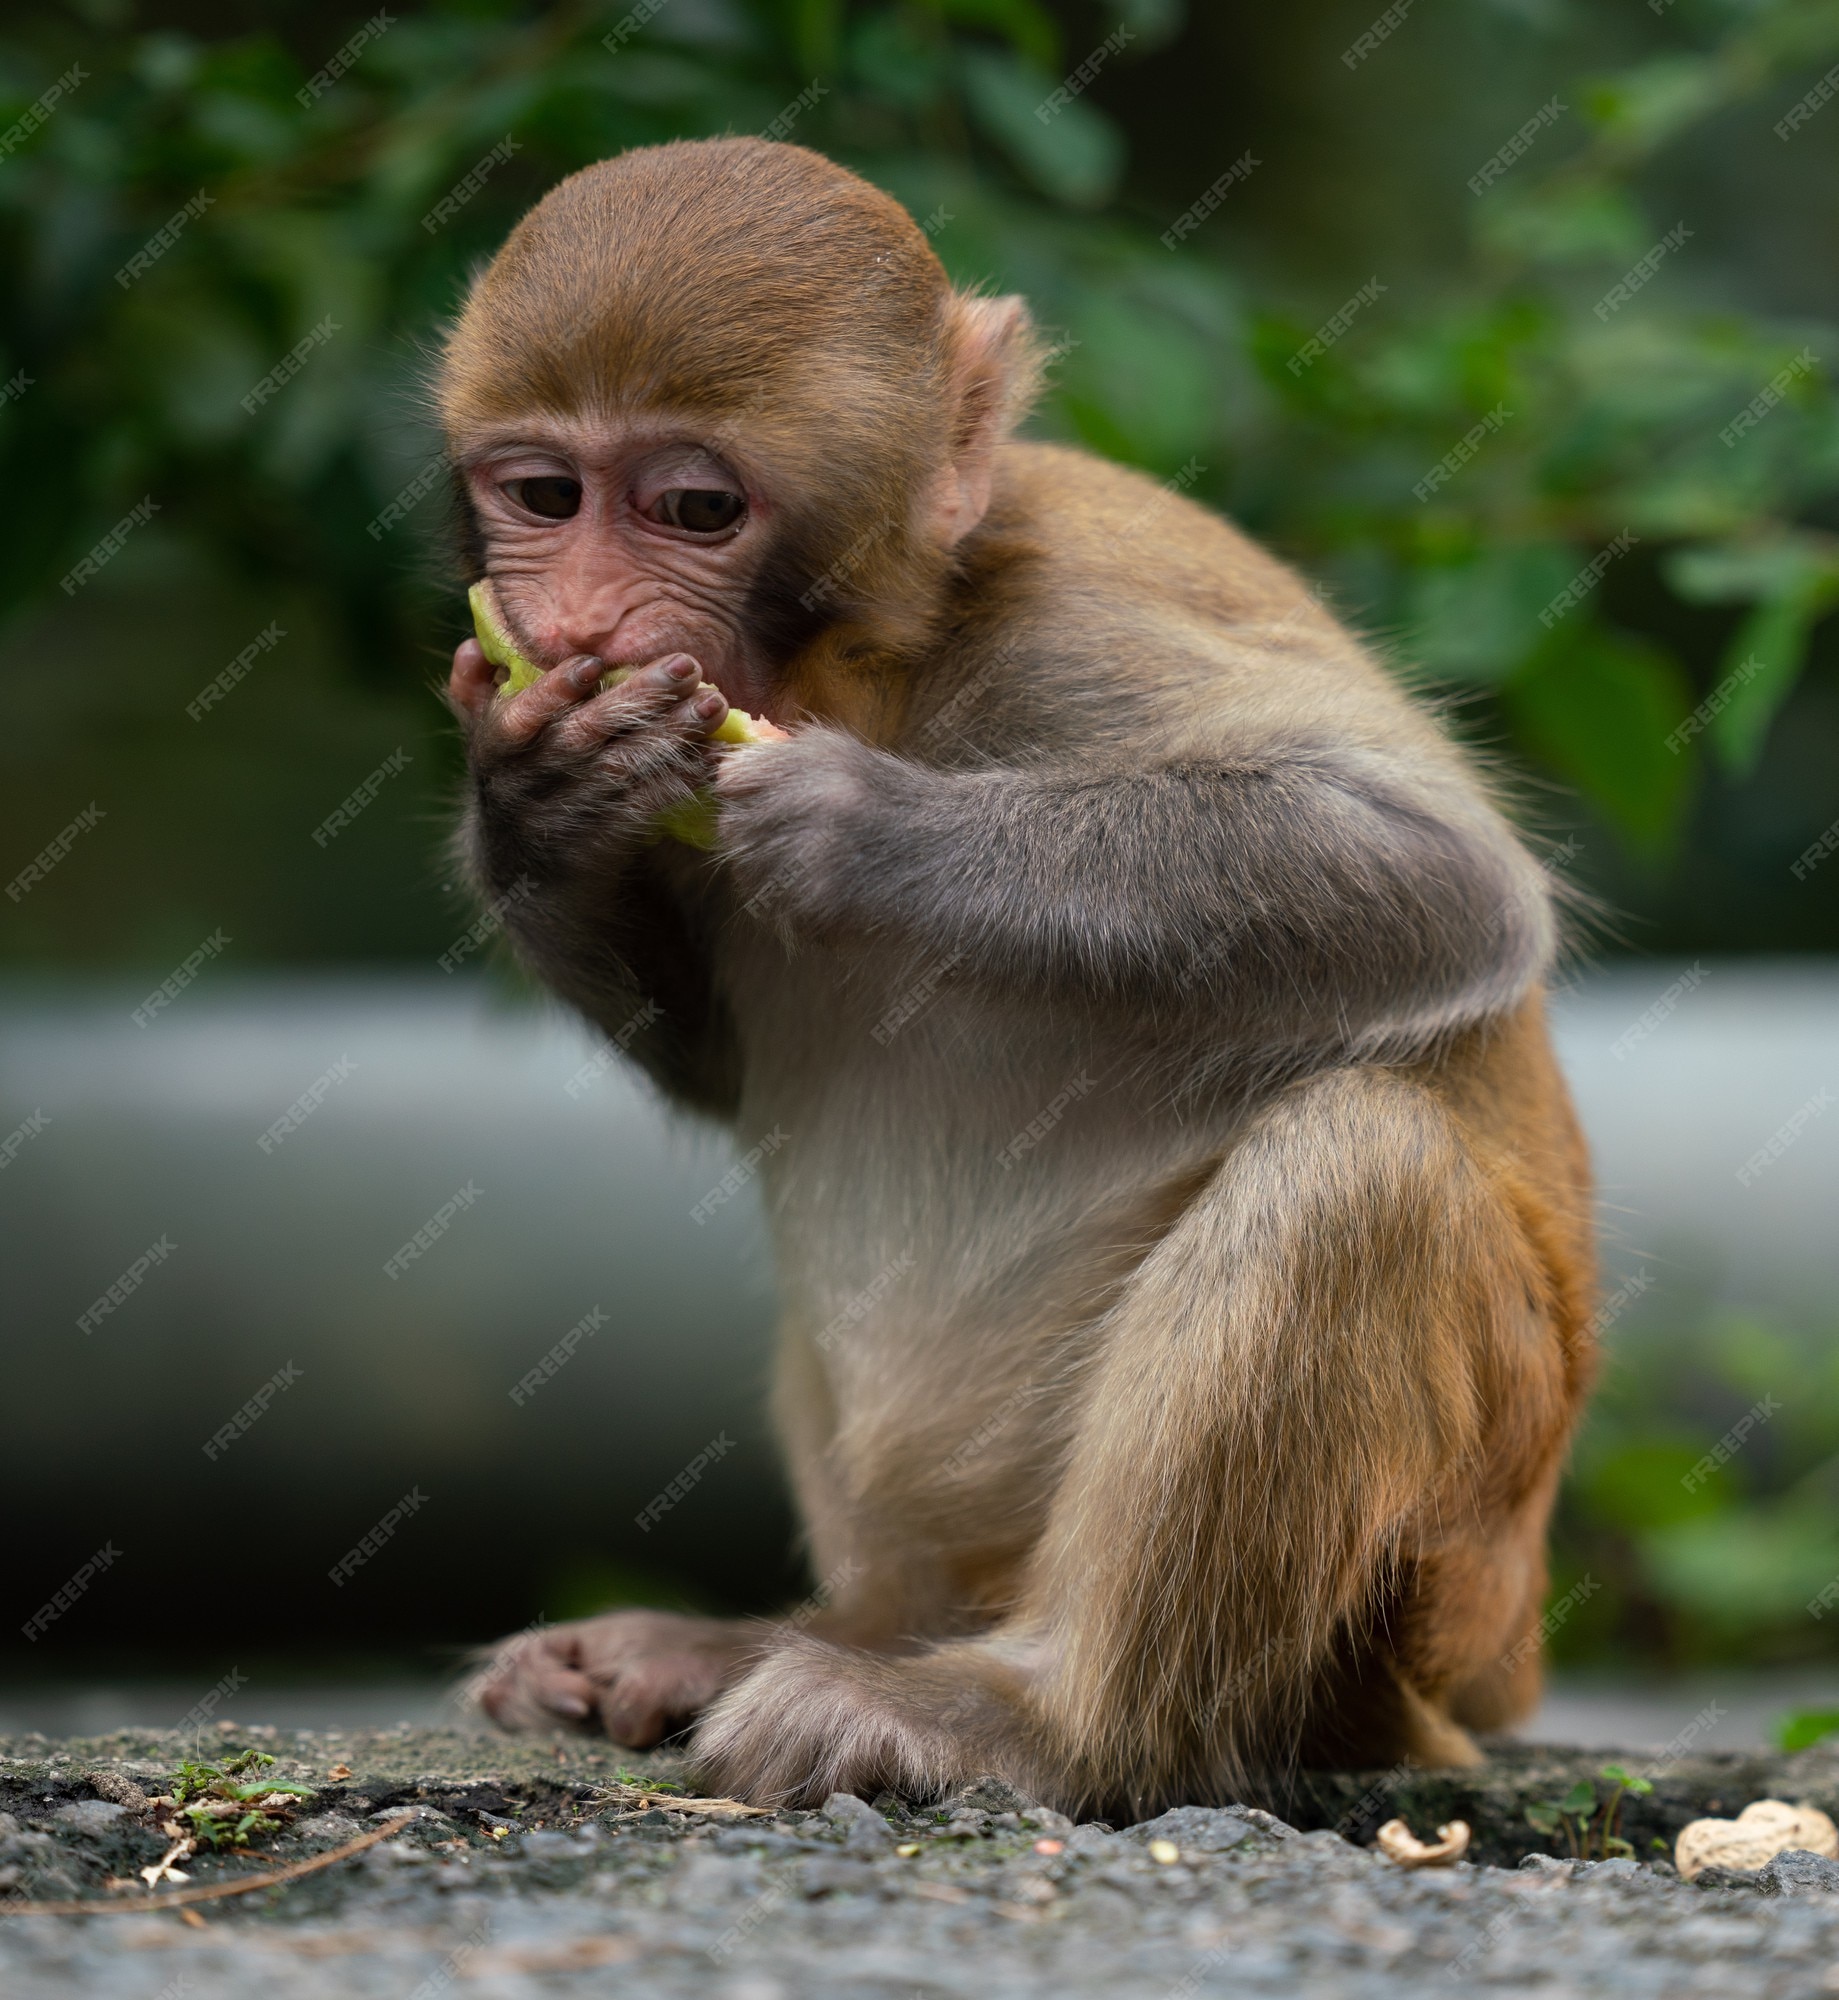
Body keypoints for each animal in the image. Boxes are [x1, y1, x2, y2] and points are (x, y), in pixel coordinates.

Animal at [445, 129, 1591, 1816]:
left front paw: (867, 828)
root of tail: (1510, 1652)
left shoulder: (1076, 624)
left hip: (1432, 1597)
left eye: (693, 506)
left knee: (1356, 1170)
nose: (578, 623)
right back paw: (776, 1643)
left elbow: (1441, 880)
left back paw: (1021, 1721)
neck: (881, 663)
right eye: (544, 494)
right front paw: (536, 797)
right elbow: (713, 1061)